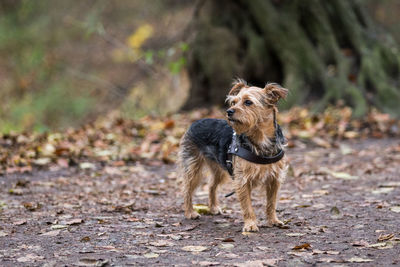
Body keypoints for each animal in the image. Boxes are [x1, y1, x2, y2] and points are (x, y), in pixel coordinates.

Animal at [180, 79, 290, 232]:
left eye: (248, 102)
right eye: (233, 102)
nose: (229, 111)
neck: (260, 138)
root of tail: (195, 122)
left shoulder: (275, 178)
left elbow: (271, 203)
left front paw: (273, 220)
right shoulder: (242, 179)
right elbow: (247, 205)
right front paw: (250, 224)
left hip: (219, 169)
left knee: (211, 185)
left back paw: (213, 208)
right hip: (193, 167)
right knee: (187, 189)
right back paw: (190, 212)